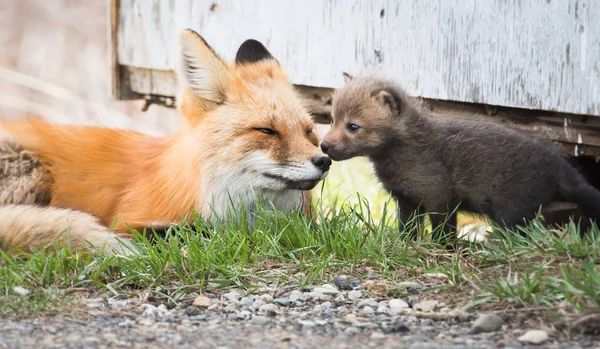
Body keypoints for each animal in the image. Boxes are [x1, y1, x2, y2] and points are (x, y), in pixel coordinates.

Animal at [0, 28, 330, 254]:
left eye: (309, 131)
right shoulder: (129, 222)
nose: (324, 160)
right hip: (33, 168)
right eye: (266, 130)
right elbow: (193, 233)